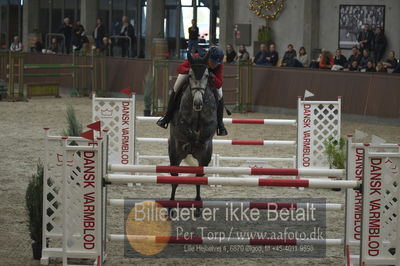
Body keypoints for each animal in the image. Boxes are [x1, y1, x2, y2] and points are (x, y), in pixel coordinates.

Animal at [169, 52, 219, 216]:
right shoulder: (181, 123)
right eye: (190, 75)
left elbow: (206, 132)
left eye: (206, 75)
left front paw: (198, 142)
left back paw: (197, 206)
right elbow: (186, 130)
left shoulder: (211, 124)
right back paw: (171, 206)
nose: (197, 103)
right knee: (174, 179)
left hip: (205, 158)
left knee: (198, 178)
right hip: (174, 154)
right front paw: (191, 141)